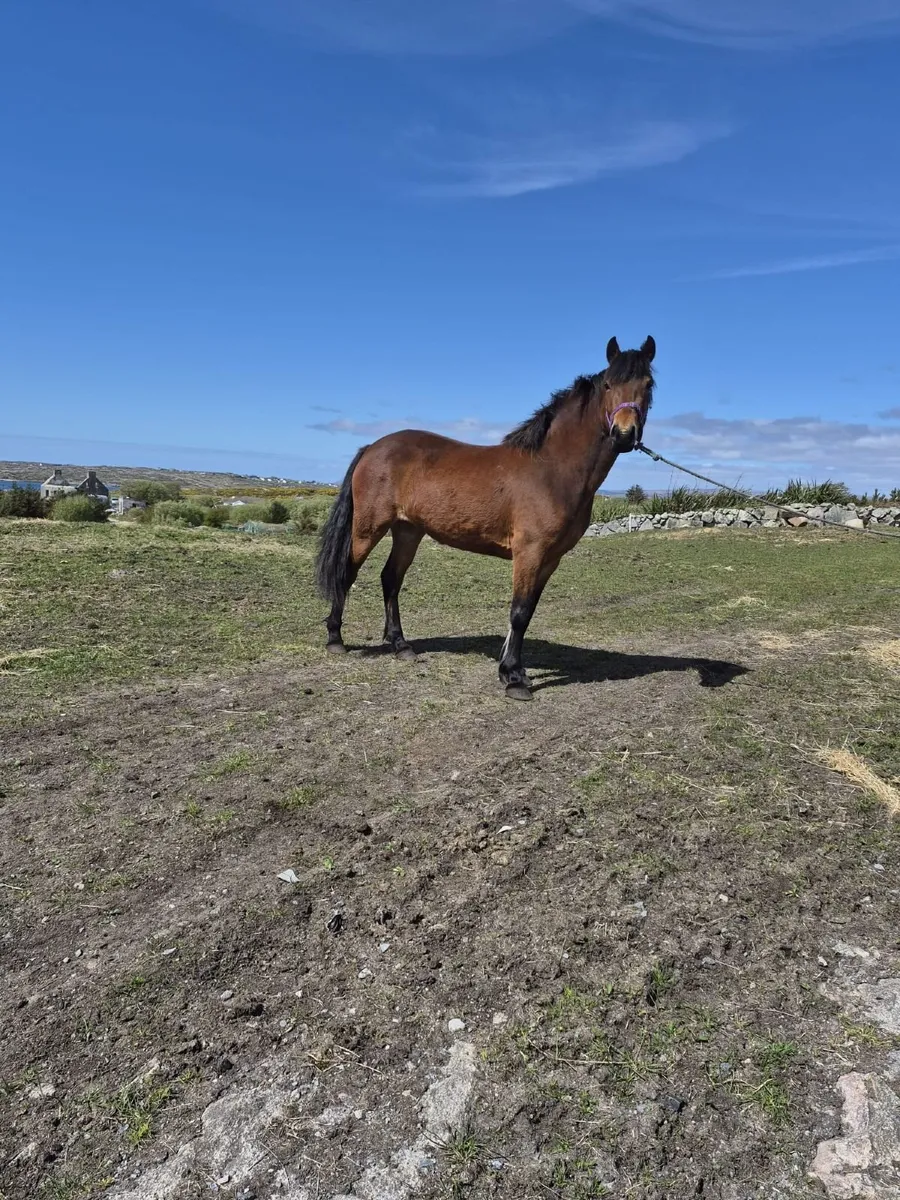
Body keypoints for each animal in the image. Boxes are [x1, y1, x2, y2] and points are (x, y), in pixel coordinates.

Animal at [314, 335, 656, 700]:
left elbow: (528, 611)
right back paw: (335, 639)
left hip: (408, 531)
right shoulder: (529, 552)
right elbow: (519, 611)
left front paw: (513, 670)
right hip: (368, 528)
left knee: (391, 579)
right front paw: (513, 678)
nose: (624, 434)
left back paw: (401, 645)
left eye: (648, 384)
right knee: (348, 572)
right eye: (608, 384)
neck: (551, 469)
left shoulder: (550, 559)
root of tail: (372, 448)